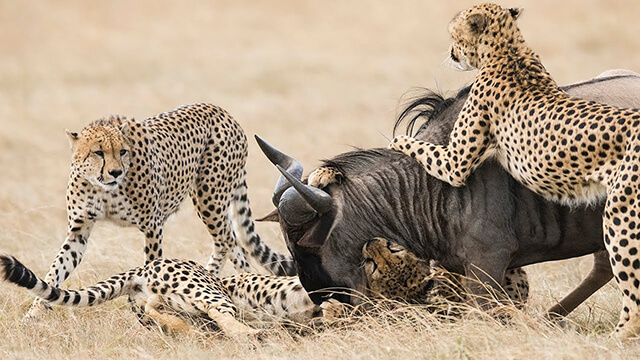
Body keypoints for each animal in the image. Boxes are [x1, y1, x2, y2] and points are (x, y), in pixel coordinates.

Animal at [1, 255, 318, 336]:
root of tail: (143, 266)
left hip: (165, 303)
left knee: (156, 309)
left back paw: (185, 330)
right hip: (207, 291)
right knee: (218, 312)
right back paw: (248, 334)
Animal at [25, 103, 296, 318]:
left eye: (122, 151)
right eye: (98, 152)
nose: (115, 172)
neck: (103, 188)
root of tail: (220, 110)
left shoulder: (152, 226)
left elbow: (152, 263)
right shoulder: (79, 230)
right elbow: (56, 269)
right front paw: (36, 311)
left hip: (209, 197)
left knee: (225, 241)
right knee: (233, 243)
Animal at [388, 2, 640, 338]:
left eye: (454, 35)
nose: (451, 54)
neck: (510, 51)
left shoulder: (456, 163)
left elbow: (417, 147)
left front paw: (396, 141)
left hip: (618, 216)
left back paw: (609, 335)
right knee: (606, 267)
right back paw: (554, 318)